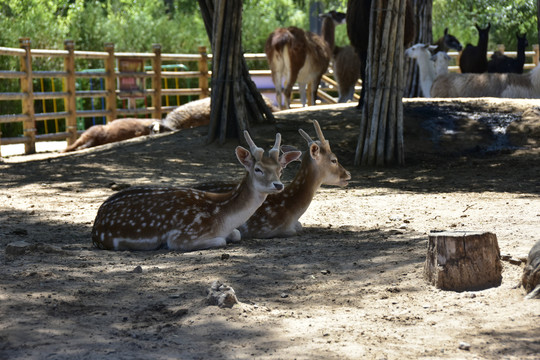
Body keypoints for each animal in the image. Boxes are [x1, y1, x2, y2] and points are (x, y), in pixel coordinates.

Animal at [91, 131, 302, 252]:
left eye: (280, 170)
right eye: (258, 169)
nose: (278, 185)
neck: (223, 217)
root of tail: (96, 220)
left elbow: (236, 234)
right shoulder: (182, 236)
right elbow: (220, 241)